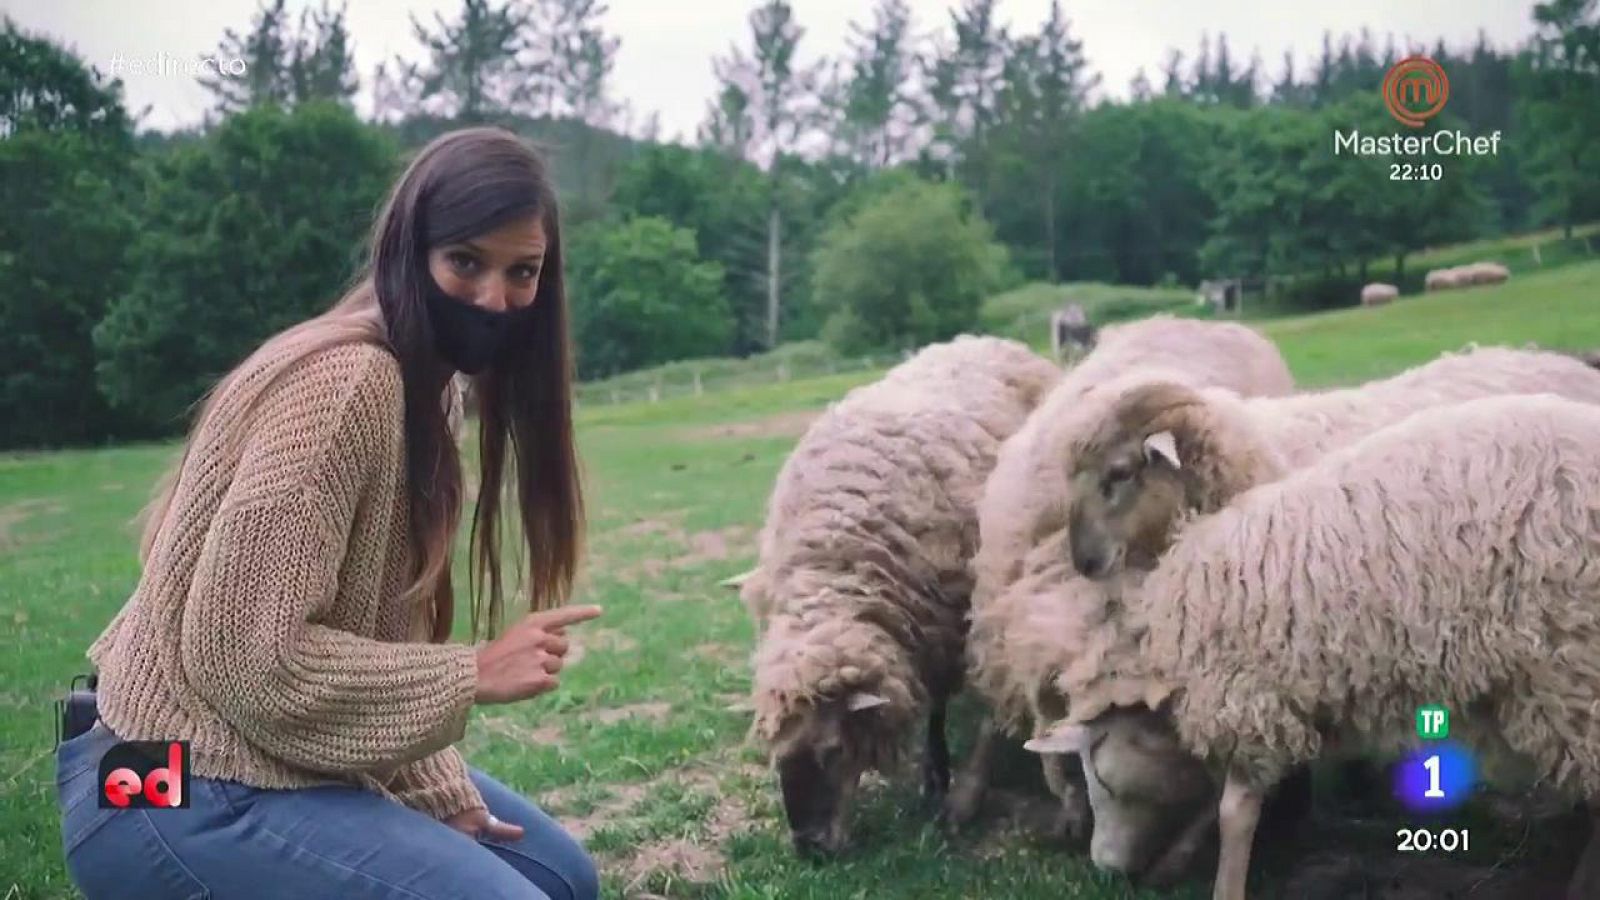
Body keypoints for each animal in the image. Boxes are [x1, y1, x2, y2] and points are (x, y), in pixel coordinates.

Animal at [745, 333, 1062, 851]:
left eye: (833, 750)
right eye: (774, 749)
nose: (810, 849)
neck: (838, 561)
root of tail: (988, 340)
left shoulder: (961, 621)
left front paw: (947, 786)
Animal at [1030, 395, 1600, 896]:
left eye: (1102, 777)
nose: (1104, 866)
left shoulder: (1250, 695)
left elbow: (1234, 812)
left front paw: (1225, 886)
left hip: (1568, 670)